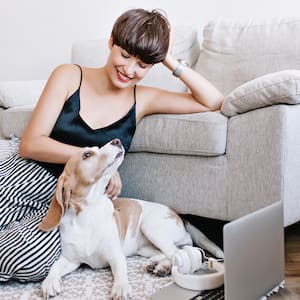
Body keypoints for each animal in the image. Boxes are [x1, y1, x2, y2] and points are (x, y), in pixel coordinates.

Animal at [38, 139, 223, 298]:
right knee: (171, 252)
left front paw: (121, 287)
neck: (88, 214)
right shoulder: (70, 260)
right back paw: (157, 263)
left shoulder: (115, 256)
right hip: (144, 248)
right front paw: (49, 282)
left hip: (150, 227)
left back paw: (164, 266)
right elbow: (55, 267)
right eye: (87, 155)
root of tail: (180, 215)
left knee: (176, 252)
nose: (116, 141)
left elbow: (120, 272)